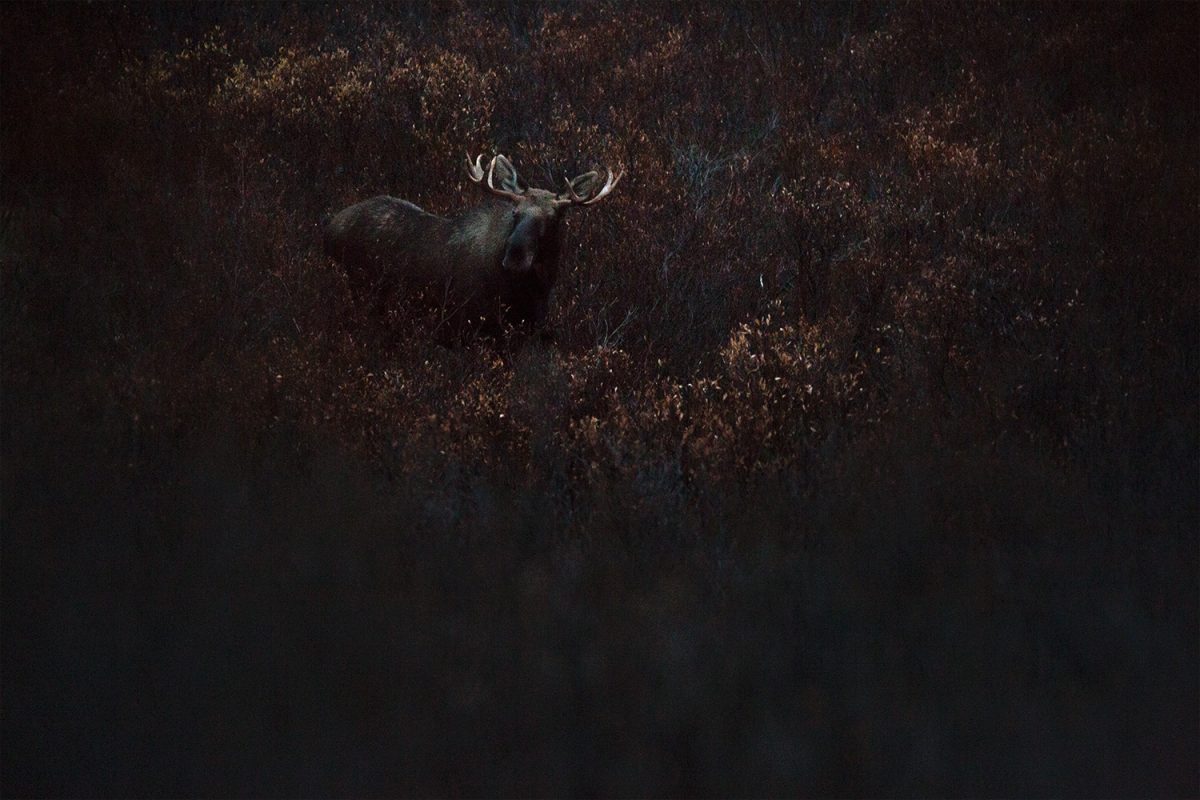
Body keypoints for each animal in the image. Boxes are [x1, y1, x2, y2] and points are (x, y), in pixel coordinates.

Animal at [324, 154, 624, 340]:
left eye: (553, 219)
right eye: (514, 213)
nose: (515, 257)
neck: (530, 293)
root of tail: (330, 226)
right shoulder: (467, 328)